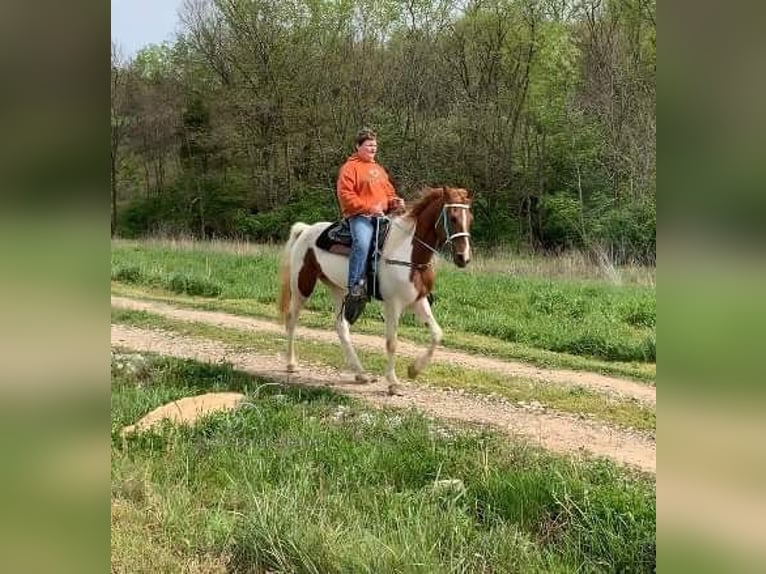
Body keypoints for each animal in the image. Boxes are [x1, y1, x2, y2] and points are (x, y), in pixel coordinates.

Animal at [278, 188, 474, 396]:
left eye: (470, 218)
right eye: (453, 217)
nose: (464, 258)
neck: (408, 254)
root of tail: (306, 230)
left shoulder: (418, 300)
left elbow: (437, 333)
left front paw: (414, 370)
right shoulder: (393, 304)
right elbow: (392, 342)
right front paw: (393, 383)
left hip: (338, 289)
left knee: (341, 326)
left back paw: (361, 373)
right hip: (302, 285)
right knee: (291, 319)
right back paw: (291, 363)